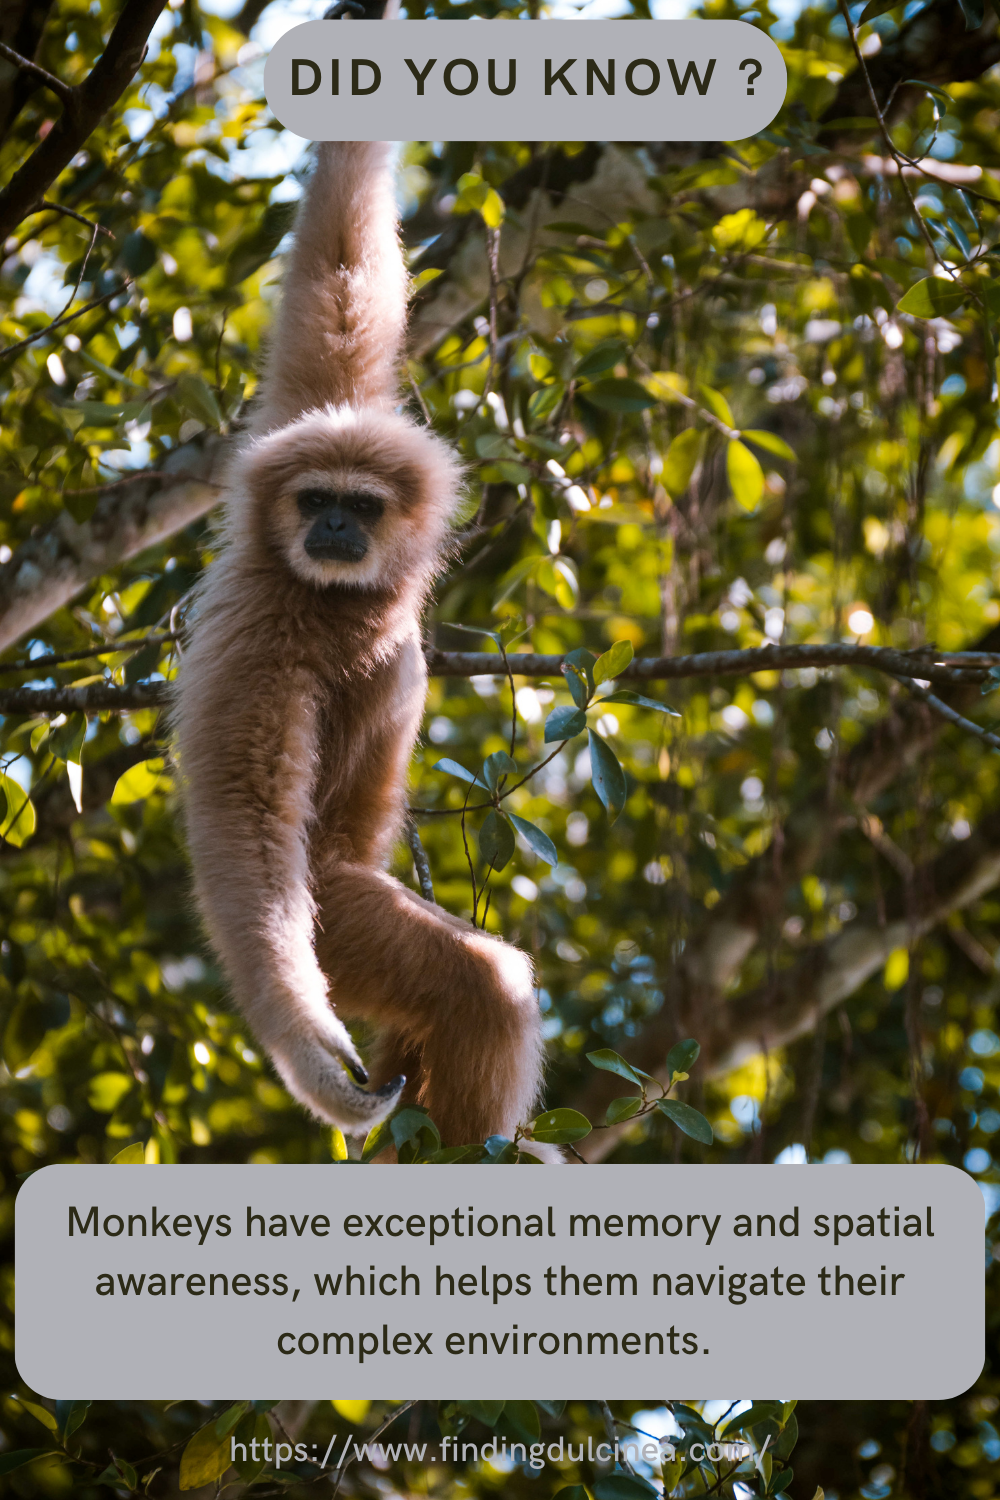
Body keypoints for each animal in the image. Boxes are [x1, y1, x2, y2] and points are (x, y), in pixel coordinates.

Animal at [173, 141, 553, 1154]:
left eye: (362, 504)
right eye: (315, 501)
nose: (334, 526)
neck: (332, 601)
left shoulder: (316, 405)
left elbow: (339, 279)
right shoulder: (261, 645)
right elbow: (242, 828)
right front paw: (307, 1051)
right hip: (338, 921)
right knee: (483, 985)